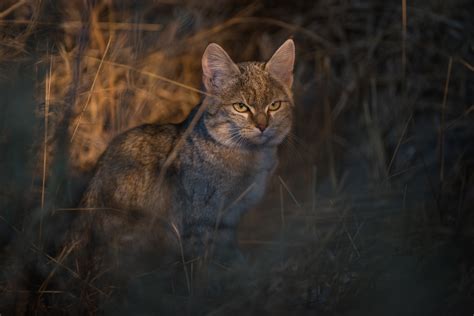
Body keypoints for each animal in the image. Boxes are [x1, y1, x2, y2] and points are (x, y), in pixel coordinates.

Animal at [72, 39, 294, 276]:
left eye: (274, 105)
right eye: (241, 107)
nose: (262, 126)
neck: (252, 158)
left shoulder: (227, 220)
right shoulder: (200, 222)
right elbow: (206, 263)